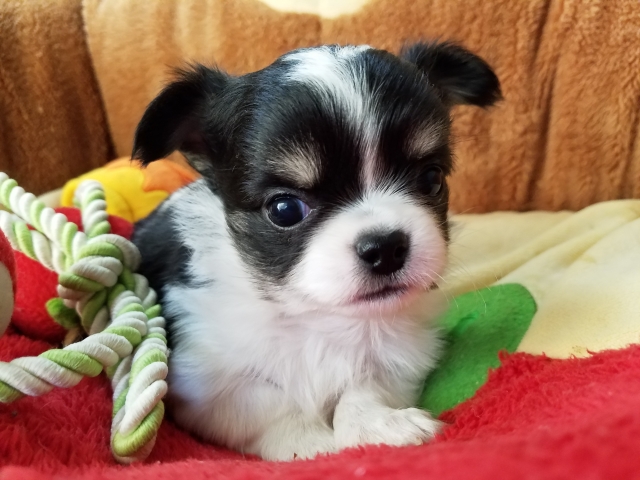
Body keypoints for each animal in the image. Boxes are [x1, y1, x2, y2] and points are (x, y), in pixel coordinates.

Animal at [131, 41, 500, 461]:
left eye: (431, 179)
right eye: (285, 209)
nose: (386, 247)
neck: (315, 314)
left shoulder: (399, 357)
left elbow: (362, 391)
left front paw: (382, 425)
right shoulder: (203, 381)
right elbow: (267, 404)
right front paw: (309, 444)